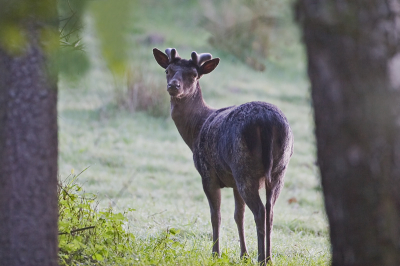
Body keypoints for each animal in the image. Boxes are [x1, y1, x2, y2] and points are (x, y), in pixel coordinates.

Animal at [153, 47, 294, 264]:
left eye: (193, 75)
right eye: (168, 70)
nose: (173, 86)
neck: (196, 130)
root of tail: (267, 123)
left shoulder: (207, 174)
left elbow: (215, 215)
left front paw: (215, 253)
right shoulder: (233, 182)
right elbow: (238, 215)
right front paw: (243, 255)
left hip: (244, 167)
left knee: (260, 211)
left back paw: (261, 258)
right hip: (279, 170)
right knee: (270, 211)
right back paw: (269, 258)